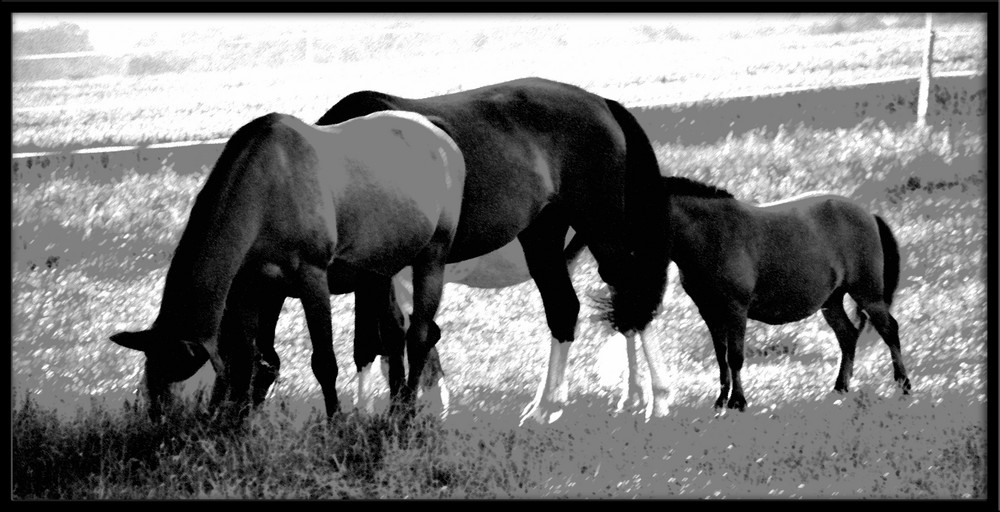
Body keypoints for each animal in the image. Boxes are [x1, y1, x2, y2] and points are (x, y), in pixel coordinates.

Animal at [107, 109, 466, 420]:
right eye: (149, 375)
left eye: (178, 375)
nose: (158, 421)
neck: (266, 185)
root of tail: (439, 135)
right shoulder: (251, 288)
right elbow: (247, 360)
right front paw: (237, 426)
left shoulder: (312, 278)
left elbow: (324, 362)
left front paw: (335, 422)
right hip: (380, 270)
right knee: (393, 334)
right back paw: (396, 409)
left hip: (432, 255)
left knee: (418, 336)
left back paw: (407, 413)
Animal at [660, 178, 912, 410]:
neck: (712, 233)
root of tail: (869, 214)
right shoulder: (710, 312)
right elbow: (721, 358)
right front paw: (721, 401)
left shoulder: (736, 309)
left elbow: (735, 357)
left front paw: (737, 402)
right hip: (832, 301)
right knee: (847, 335)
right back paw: (840, 388)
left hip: (868, 294)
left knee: (889, 330)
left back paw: (903, 385)